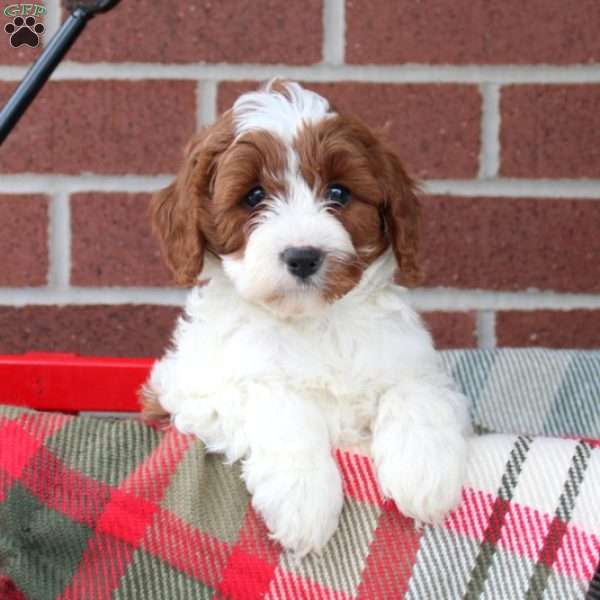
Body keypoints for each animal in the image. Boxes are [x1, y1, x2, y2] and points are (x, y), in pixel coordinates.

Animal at [143, 81, 472, 556]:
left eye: (338, 193)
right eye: (254, 196)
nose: (303, 256)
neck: (314, 322)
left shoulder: (414, 362)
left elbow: (414, 392)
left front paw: (425, 475)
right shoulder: (194, 393)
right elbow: (282, 405)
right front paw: (304, 502)